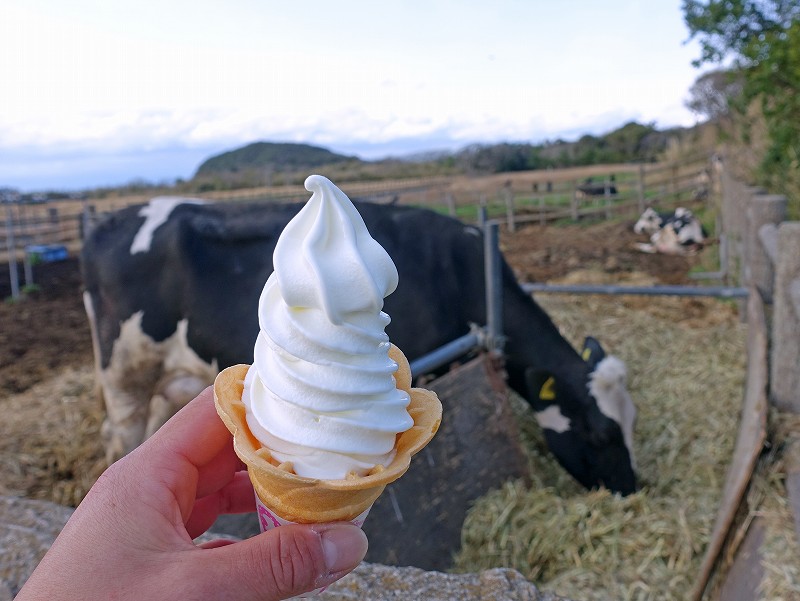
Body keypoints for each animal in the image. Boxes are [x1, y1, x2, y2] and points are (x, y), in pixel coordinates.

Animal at [83, 196, 636, 492]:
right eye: (602, 435)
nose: (632, 489)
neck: (461, 272)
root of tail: (110, 220)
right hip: (124, 373)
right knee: (121, 436)